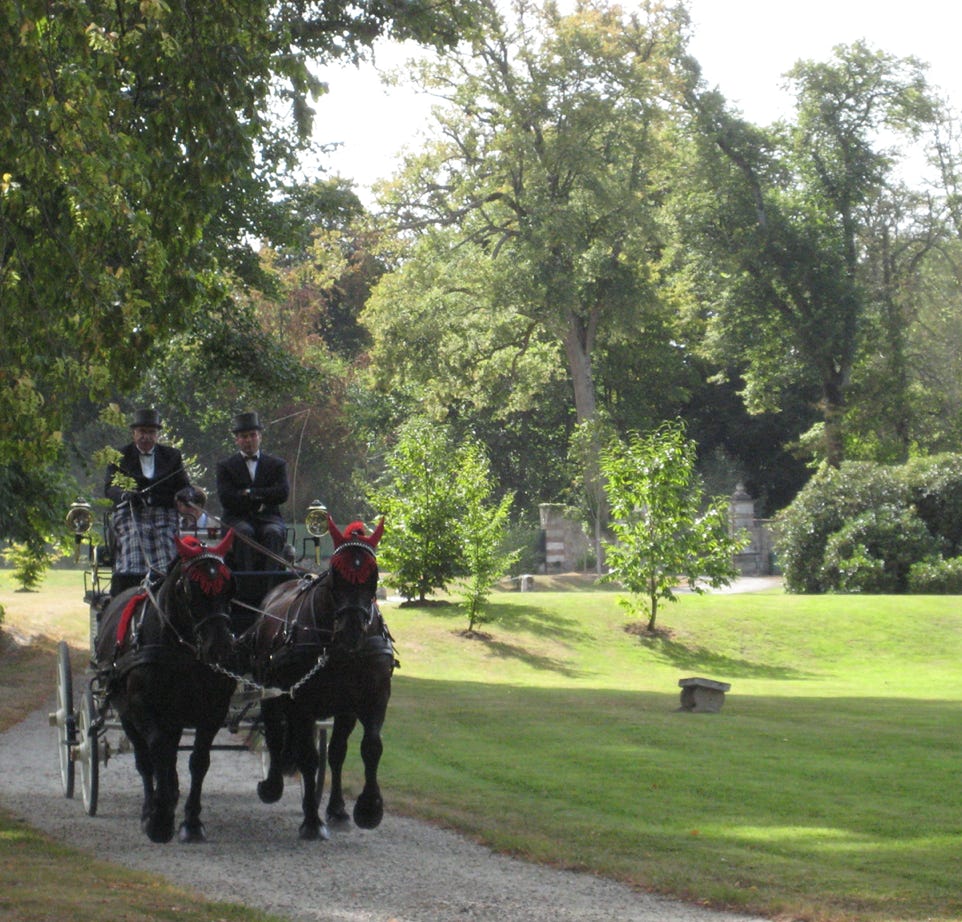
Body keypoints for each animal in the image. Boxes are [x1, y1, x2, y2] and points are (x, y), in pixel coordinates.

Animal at [94, 532, 237, 840]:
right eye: (192, 591)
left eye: (229, 588)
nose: (221, 650)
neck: (180, 649)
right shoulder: (142, 708)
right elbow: (157, 752)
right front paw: (159, 819)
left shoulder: (213, 711)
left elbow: (198, 761)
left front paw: (192, 822)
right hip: (127, 714)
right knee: (146, 758)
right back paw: (154, 805)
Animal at [253, 512, 396, 836]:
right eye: (335, 574)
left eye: (373, 575)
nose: (352, 631)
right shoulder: (302, 703)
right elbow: (309, 757)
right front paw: (311, 821)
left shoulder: (369, 699)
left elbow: (365, 748)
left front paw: (366, 808)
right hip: (271, 688)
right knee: (275, 732)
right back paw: (272, 785)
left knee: (329, 750)